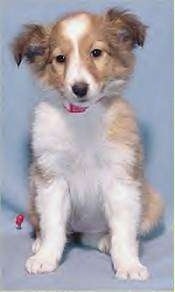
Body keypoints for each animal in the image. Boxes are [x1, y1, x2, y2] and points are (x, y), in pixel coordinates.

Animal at [12, 8, 164, 280]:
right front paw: (46, 258)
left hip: (154, 201)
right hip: (33, 187)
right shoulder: (52, 179)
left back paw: (106, 241)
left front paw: (128, 264)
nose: (79, 89)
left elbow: (124, 231)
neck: (82, 118)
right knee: (58, 229)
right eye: (60, 58)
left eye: (96, 52)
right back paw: (40, 243)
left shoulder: (121, 179)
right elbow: (53, 225)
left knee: (99, 235)